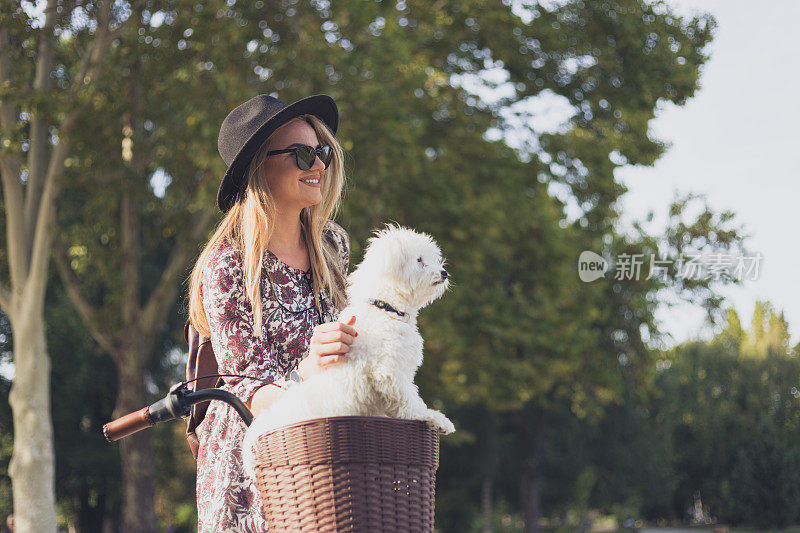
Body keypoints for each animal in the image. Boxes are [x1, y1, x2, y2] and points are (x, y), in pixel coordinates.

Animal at [242, 222, 456, 476]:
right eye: (420, 260)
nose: (444, 273)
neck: (384, 309)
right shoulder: (389, 372)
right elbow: (410, 403)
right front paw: (433, 417)